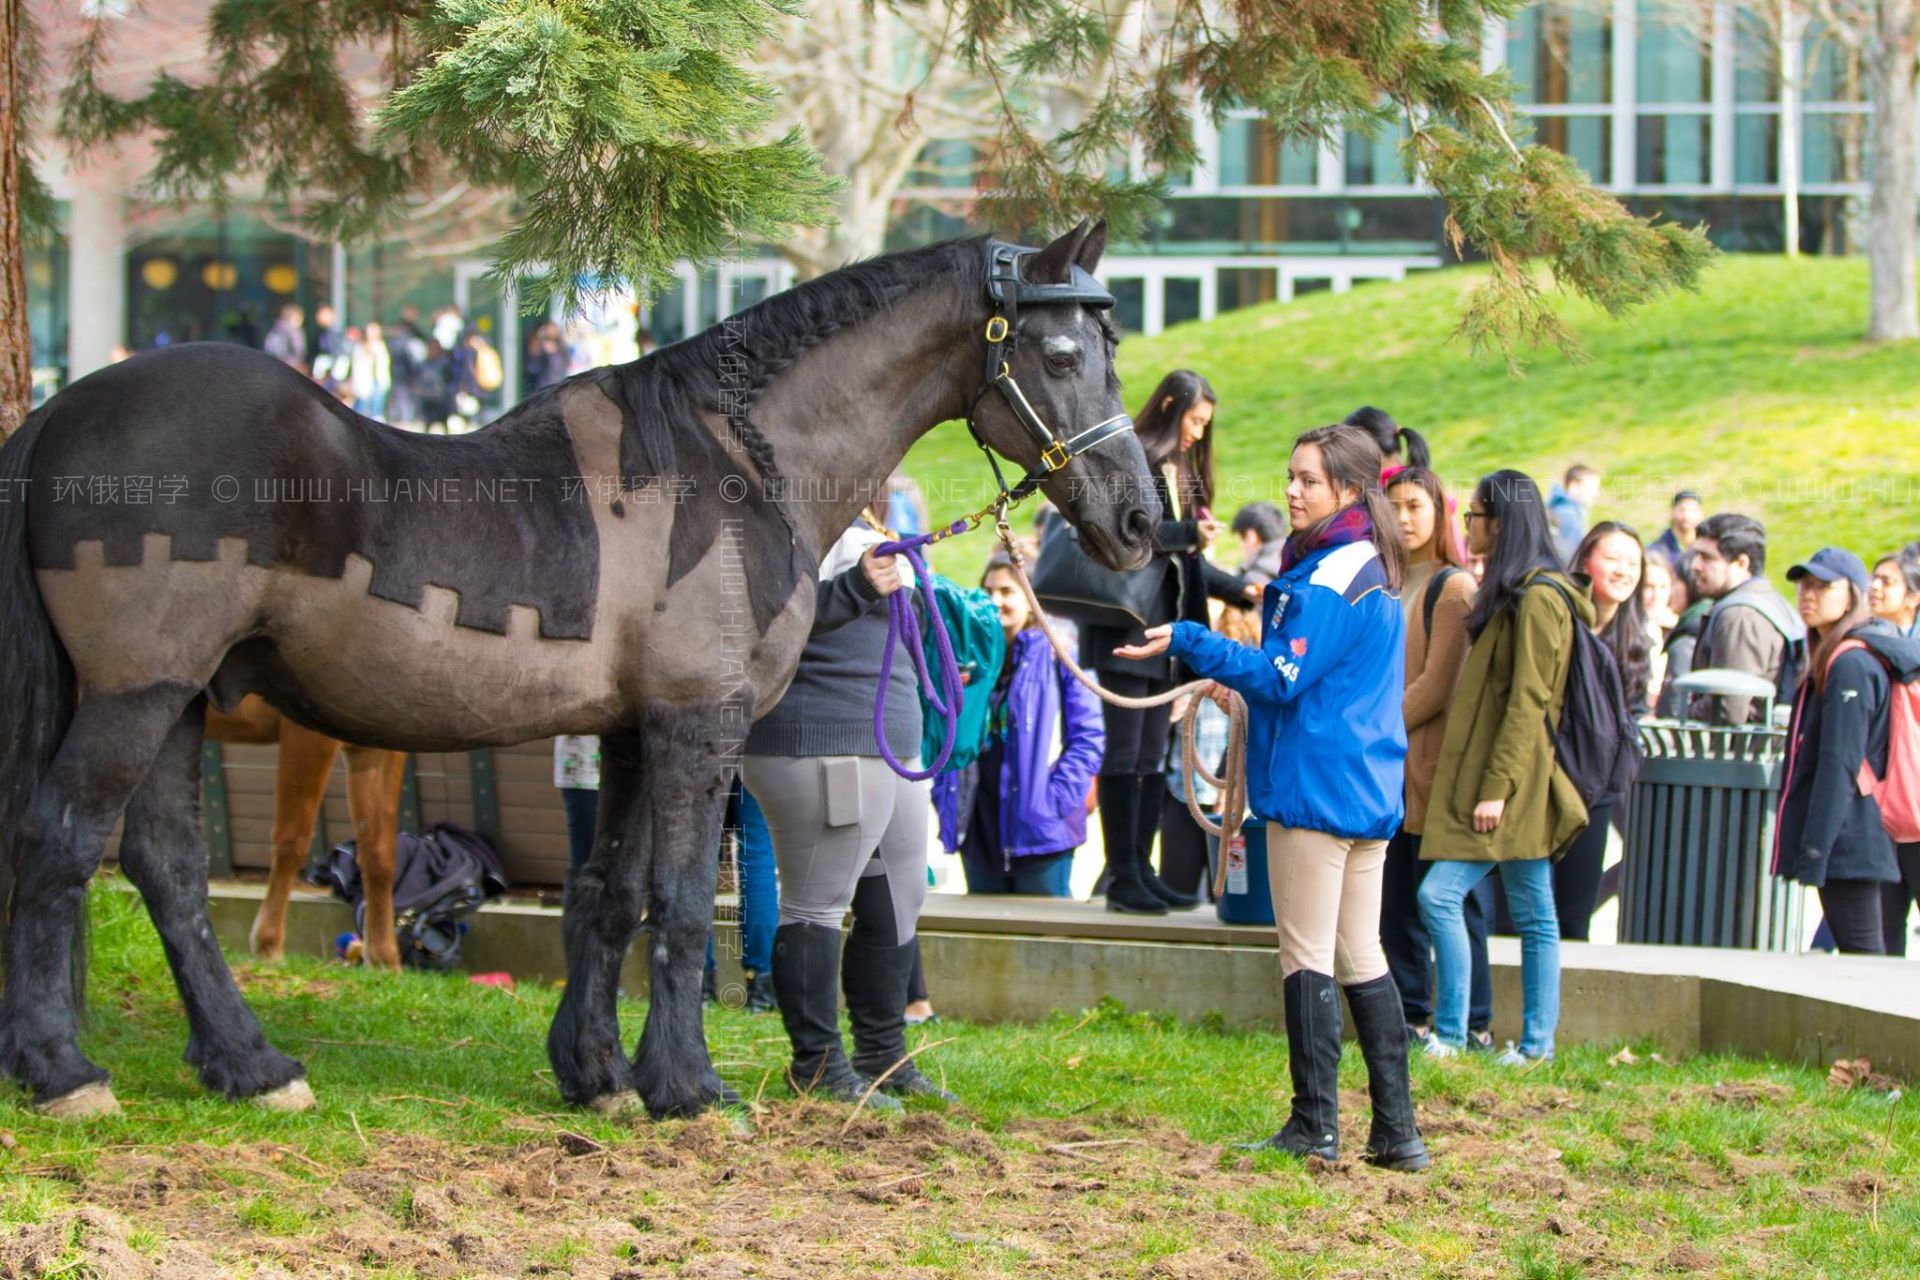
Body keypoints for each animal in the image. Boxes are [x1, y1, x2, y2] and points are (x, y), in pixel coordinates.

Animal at [0, 222, 1152, 1120]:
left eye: (1109, 344)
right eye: (1058, 351)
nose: (1140, 522)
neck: (733, 463)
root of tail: (60, 414)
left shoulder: (631, 731)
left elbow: (610, 891)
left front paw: (597, 1072)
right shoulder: (700, 724)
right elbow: (680, 901)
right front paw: (688, 1084)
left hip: (180, 703)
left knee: (165, 869)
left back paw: (248, 1064)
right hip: (136, 698)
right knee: (60, 842)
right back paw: (63, 1071)